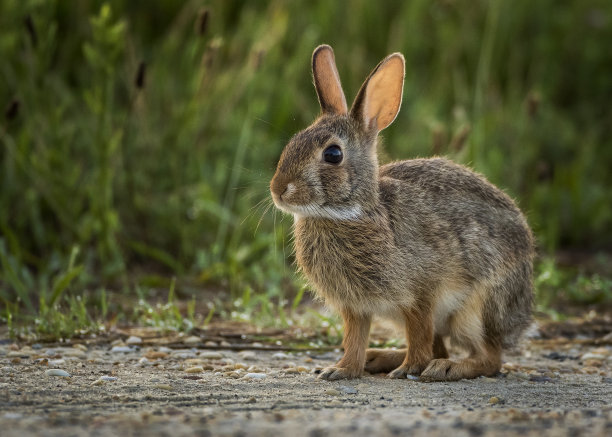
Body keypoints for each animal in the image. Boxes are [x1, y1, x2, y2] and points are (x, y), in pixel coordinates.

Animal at [270, 42, 532, 380]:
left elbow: (418, 333)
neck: (350, 213)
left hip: (475, 309)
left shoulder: (421, 294)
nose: (278, 189)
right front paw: (341, 369)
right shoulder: (356, 307)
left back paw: (444, 368)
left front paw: (408, 368)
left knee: (488, 357)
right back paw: (380, 358)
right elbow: (354, 338)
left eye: (333, 154)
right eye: (294, 141)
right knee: (443, 346)